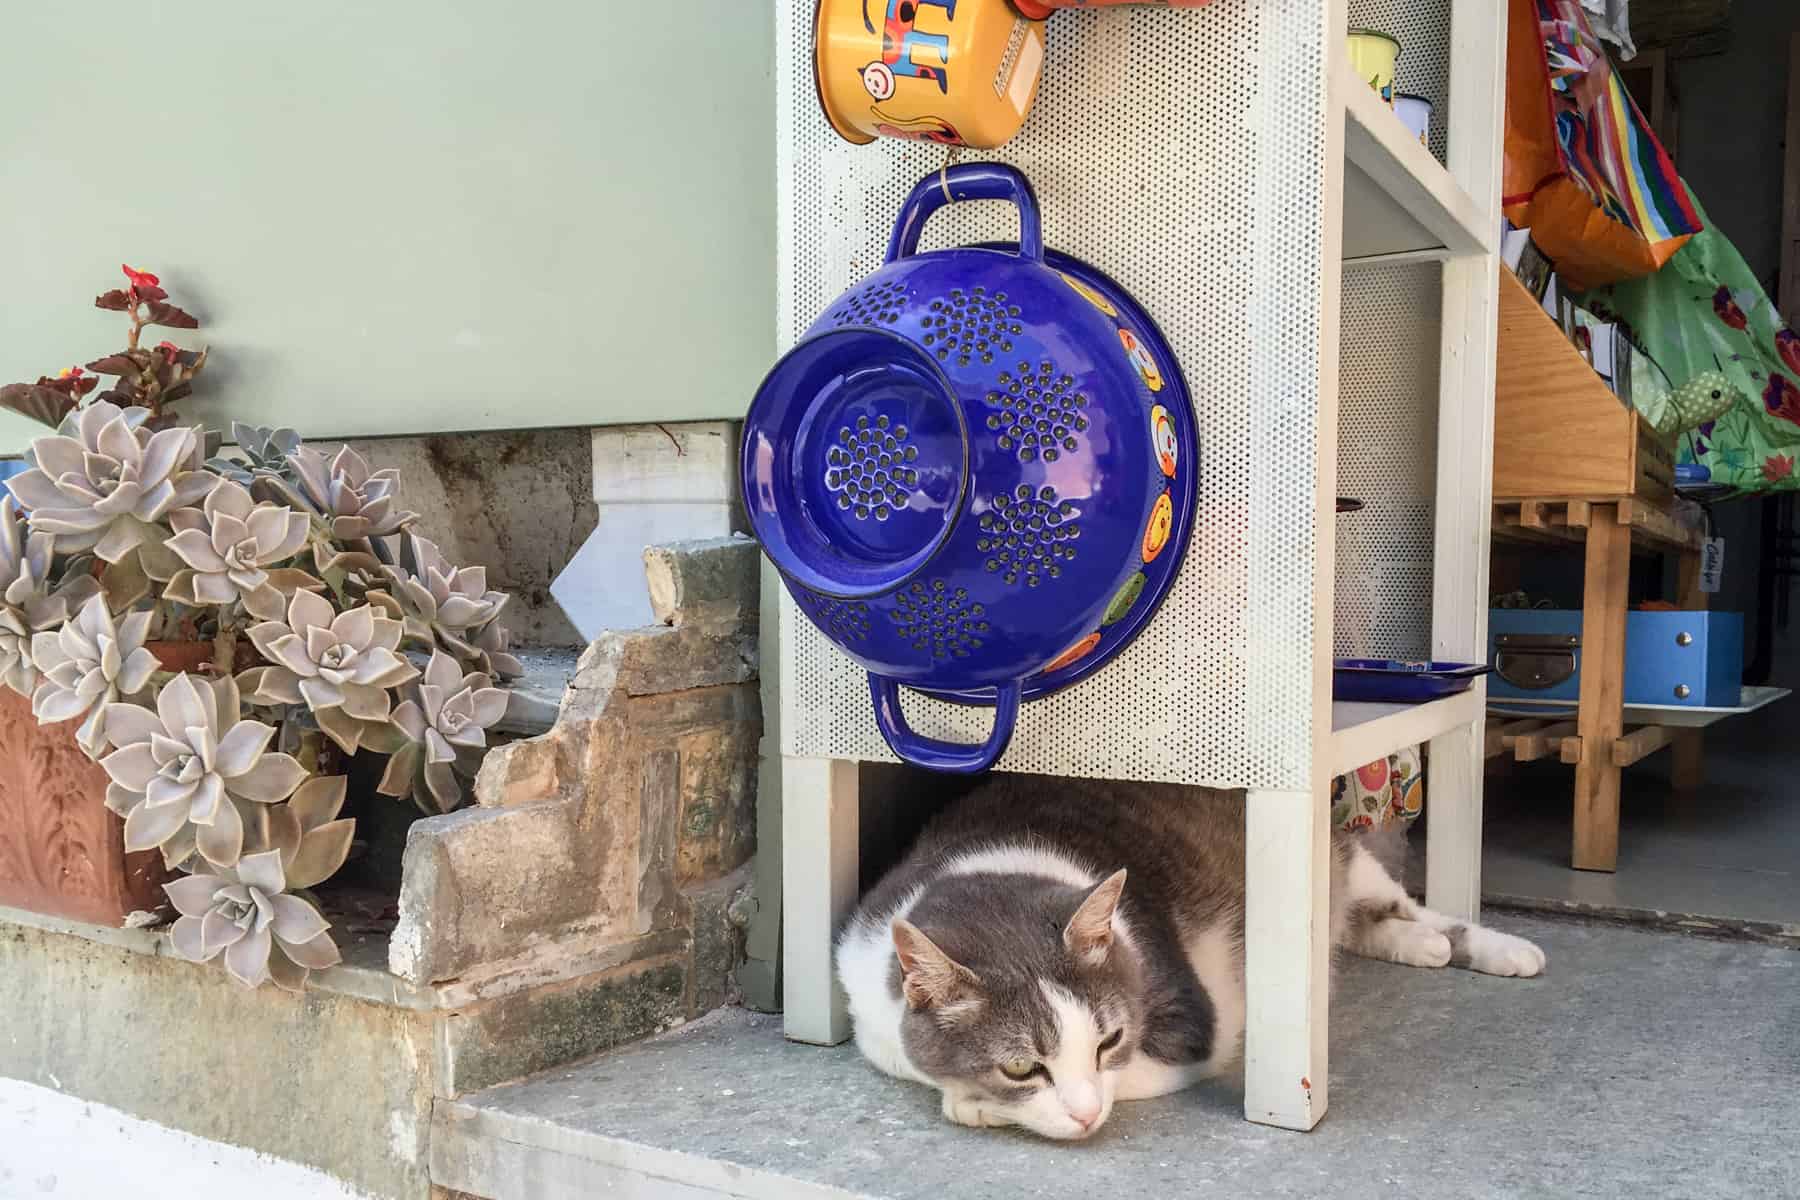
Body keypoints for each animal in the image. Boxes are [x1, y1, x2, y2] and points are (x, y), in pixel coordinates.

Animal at [835, 773, 1540, 1144]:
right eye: (1019, 1065)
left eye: (1109, 1039)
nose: (1084, 1117)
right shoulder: (866, 994)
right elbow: (903, 1060)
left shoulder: (1194, 1020)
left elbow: (1135, 1073)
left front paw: (974, 1106)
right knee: (1368, 927)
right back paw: (1422, 947)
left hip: (1344, 863)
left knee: (1400, 906)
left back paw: (1501, 949)